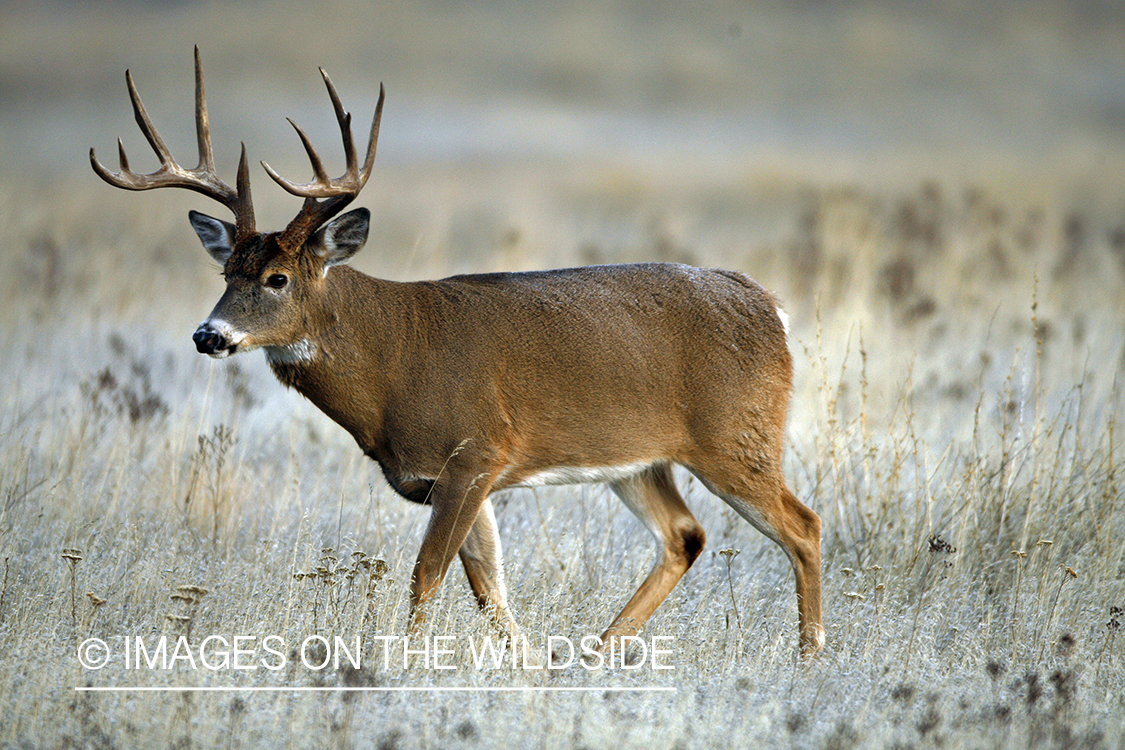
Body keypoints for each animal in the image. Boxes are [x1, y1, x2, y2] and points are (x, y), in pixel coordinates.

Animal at [90, 48, 828, 656]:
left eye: (277, 278)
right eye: (226, 273)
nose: (208, 335)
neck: (392, 360)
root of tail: (769, 304)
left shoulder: (476, 451)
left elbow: (429, 576)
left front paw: (403, 666)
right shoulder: (446, 478)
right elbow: (489, 588)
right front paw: (524, 668)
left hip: (734, 433)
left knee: (804, 525)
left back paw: (809, 656)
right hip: (640, 457)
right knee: (684, 535)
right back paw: (594, 653)